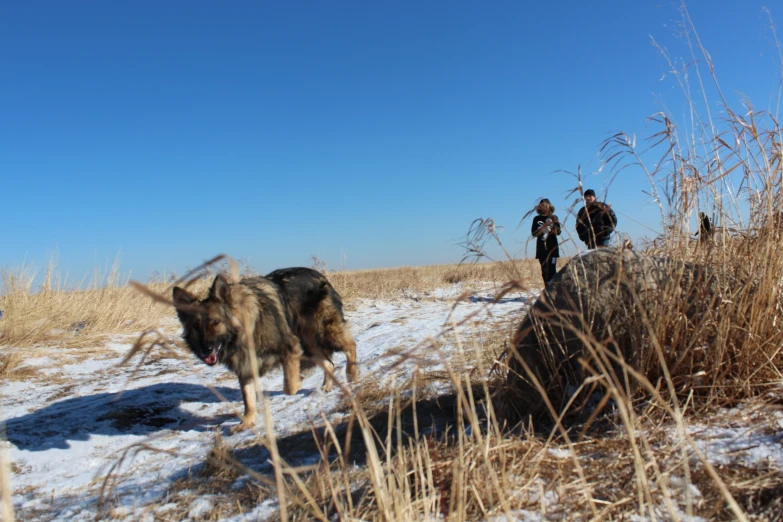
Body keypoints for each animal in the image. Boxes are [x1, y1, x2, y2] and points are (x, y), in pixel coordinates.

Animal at [173, 266, 360, 428]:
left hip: (324, 332)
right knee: (329, 363)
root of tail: (320, 275)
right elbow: (248, 399)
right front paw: (247, 421)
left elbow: (289, 387)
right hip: (311, 343)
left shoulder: (289, 347)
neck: (245, 330)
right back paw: (327, 386)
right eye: (196, 326)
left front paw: (299, 379)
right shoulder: (246, 366)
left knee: (351, 346)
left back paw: (352, 373)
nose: (206, 350)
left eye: (216, 322)